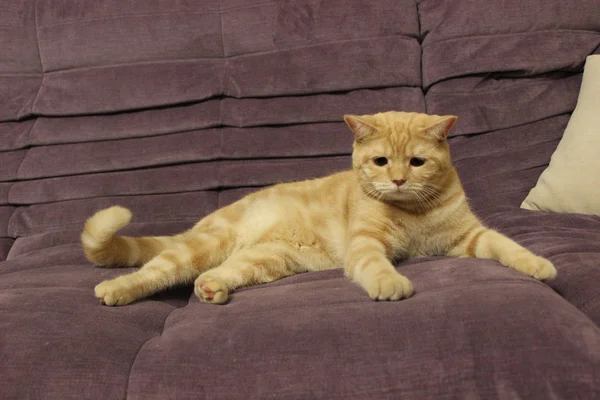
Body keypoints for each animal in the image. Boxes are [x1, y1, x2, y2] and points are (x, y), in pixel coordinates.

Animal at [82, 111, 556, 306]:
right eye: (381, 161)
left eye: (417, 162)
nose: (398, 180)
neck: (413, 212)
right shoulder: (365, 243)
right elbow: (376, 266)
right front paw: (391, 284)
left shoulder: (469, 237)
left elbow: (509, 247)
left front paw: (538, 265)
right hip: (202, 247)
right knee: (154, 270)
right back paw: (116, 290)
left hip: (264, 260)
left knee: (217, 272)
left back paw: (212, 289)